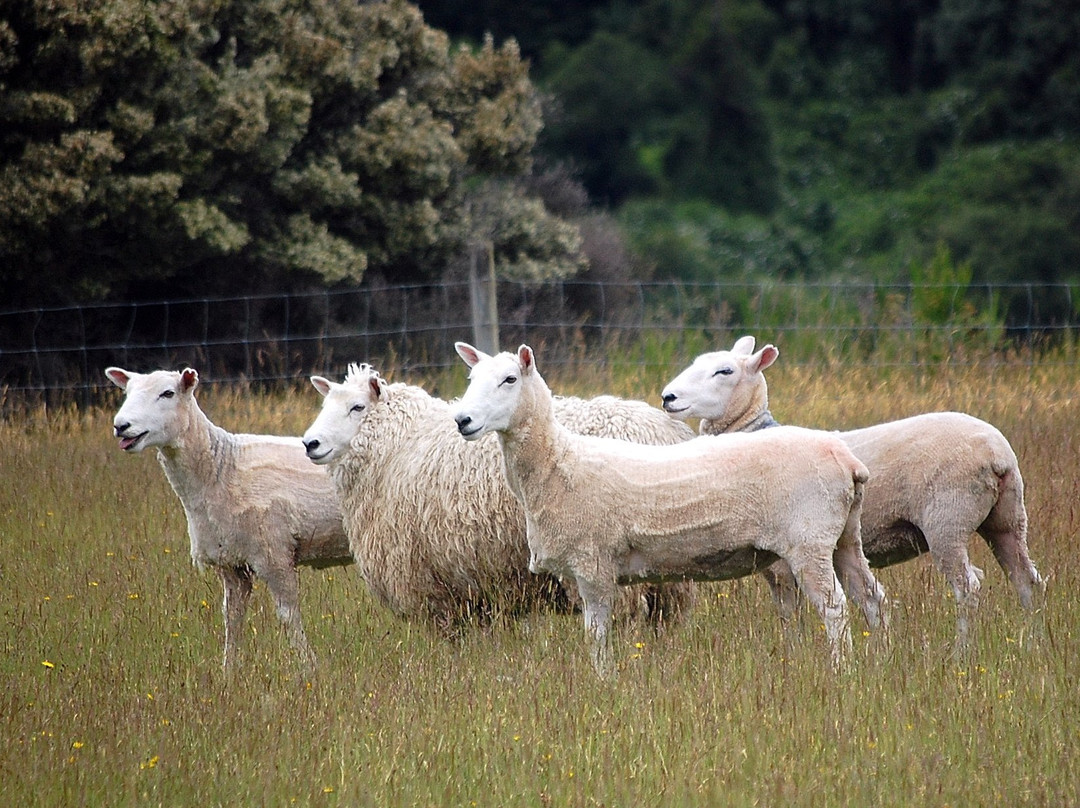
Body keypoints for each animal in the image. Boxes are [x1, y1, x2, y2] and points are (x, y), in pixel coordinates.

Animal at [105, 367, 349, 669]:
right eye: (126, 393)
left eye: (168, 393)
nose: (121, 425)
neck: (220, 467)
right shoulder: (230, 562)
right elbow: (232, 617)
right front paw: (229, 670)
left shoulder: (274, 554)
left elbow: (288, 615)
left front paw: (308, 667)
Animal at [300, 362, 695, 635]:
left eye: (357, 408)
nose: (310, 443)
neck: (398, 444)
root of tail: (662, 432)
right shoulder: (477, 588)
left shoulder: (430, 589)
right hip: (668, 574)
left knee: (627, 616)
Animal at [451, 343, 889, 674]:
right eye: (471, 380)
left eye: (509, 380)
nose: (462, 420)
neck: (557, 462)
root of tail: (847, 459)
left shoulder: (593, 565)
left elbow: (597, 634)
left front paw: (603, 682)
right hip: (844, 536)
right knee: (870, 596)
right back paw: (880, 660)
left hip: (809, 540)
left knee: (835, 608)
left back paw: (842, 670)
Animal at [656, 337, 1045, 648]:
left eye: (724, 372)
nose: (668, 397)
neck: (751, 430)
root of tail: (997, 453)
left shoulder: (781, 564)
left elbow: (790, 616)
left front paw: (793, 656)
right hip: (1007, 517)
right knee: (1027, 581)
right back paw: (1034, 644)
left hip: (948, 519)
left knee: (968, 588)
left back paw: (963, 651)